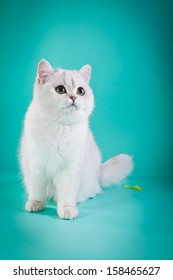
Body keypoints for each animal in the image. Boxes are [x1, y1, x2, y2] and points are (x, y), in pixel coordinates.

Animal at [20, 60, 134, 220]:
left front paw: (67, 209)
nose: (74, 97)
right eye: (60, 89)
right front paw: (36, 203)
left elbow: (67, 193)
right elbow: (37, 190)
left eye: (80, 91)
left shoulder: (70, 168)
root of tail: (98, 174)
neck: (60, 126)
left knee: (90, 192)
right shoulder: (36, 166)